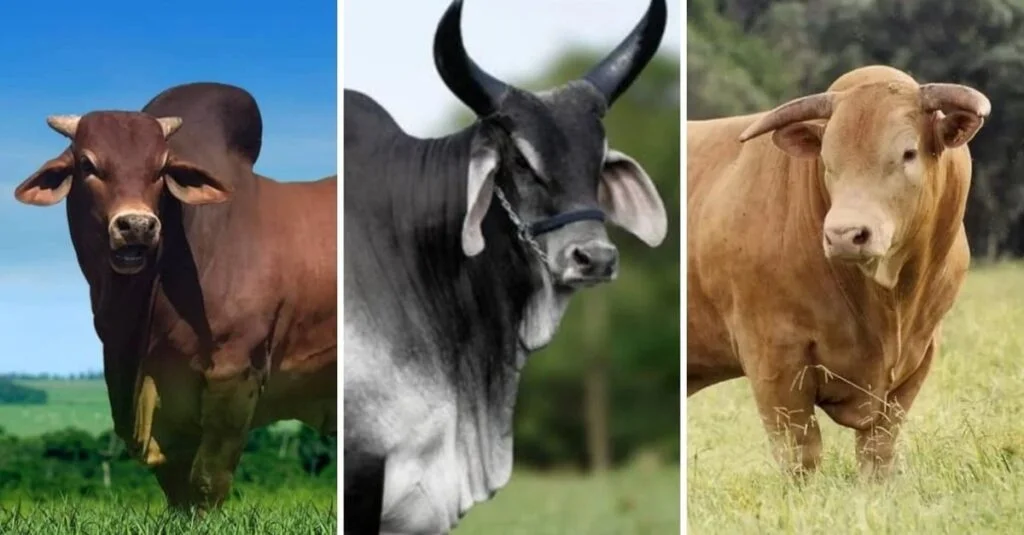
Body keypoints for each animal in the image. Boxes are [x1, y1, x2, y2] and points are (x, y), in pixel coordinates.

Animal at [12, 83, 337, 512]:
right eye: (87, 164)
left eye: (162, 168)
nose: (137, 225)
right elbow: (179, 491)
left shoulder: (235, 372)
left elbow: (206, 483)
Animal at [687, 65, 990, 479]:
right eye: (827, 160)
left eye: (908, 152)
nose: (844, 234)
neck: (888, 303)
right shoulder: (771, 356)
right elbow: (801, 455)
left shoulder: (921, 353)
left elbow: (878, 453)